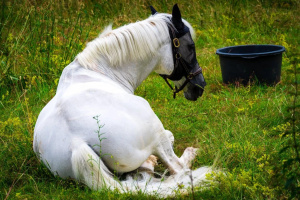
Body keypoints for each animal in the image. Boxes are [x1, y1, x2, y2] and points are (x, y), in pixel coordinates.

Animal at [33, 4, 211, 197]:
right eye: (191, 46)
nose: (199, 86)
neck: (101, 70)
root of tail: (76, 143)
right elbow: (172, 142)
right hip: (157, 135)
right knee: (178, 168)